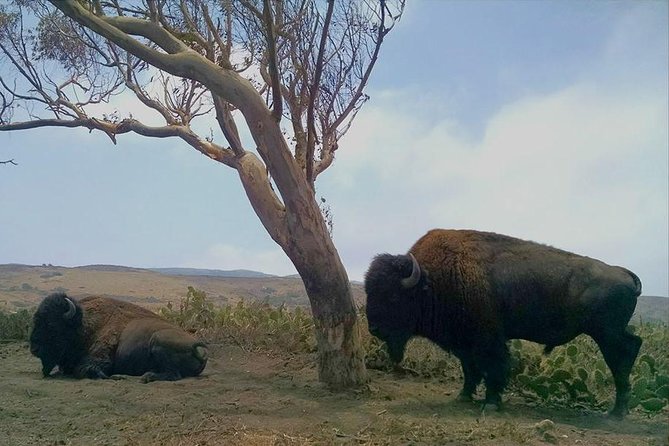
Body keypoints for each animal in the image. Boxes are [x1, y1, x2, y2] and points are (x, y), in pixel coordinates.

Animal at [30, 292, 207, 384]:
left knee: (173, 374)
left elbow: (83, 369)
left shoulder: (99, 358)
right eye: (36, 320)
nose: (34, 348)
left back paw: (146, 376)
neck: (85, 325)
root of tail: (198, 348)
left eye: (51, 325)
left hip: (157, 341)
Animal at [366, 230, 640, 418]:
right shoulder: (465, 343)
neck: (430, 279)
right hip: (611, 333)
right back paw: (619, 410)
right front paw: (463, 396)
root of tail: (624, 272)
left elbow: (493, 367)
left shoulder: (488, 340)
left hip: (607, 334)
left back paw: (616, 412)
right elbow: (470, 369)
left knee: (623, 357)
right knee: (631, 348)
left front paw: (491, 402)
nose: (374, 328)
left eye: (392, 296)